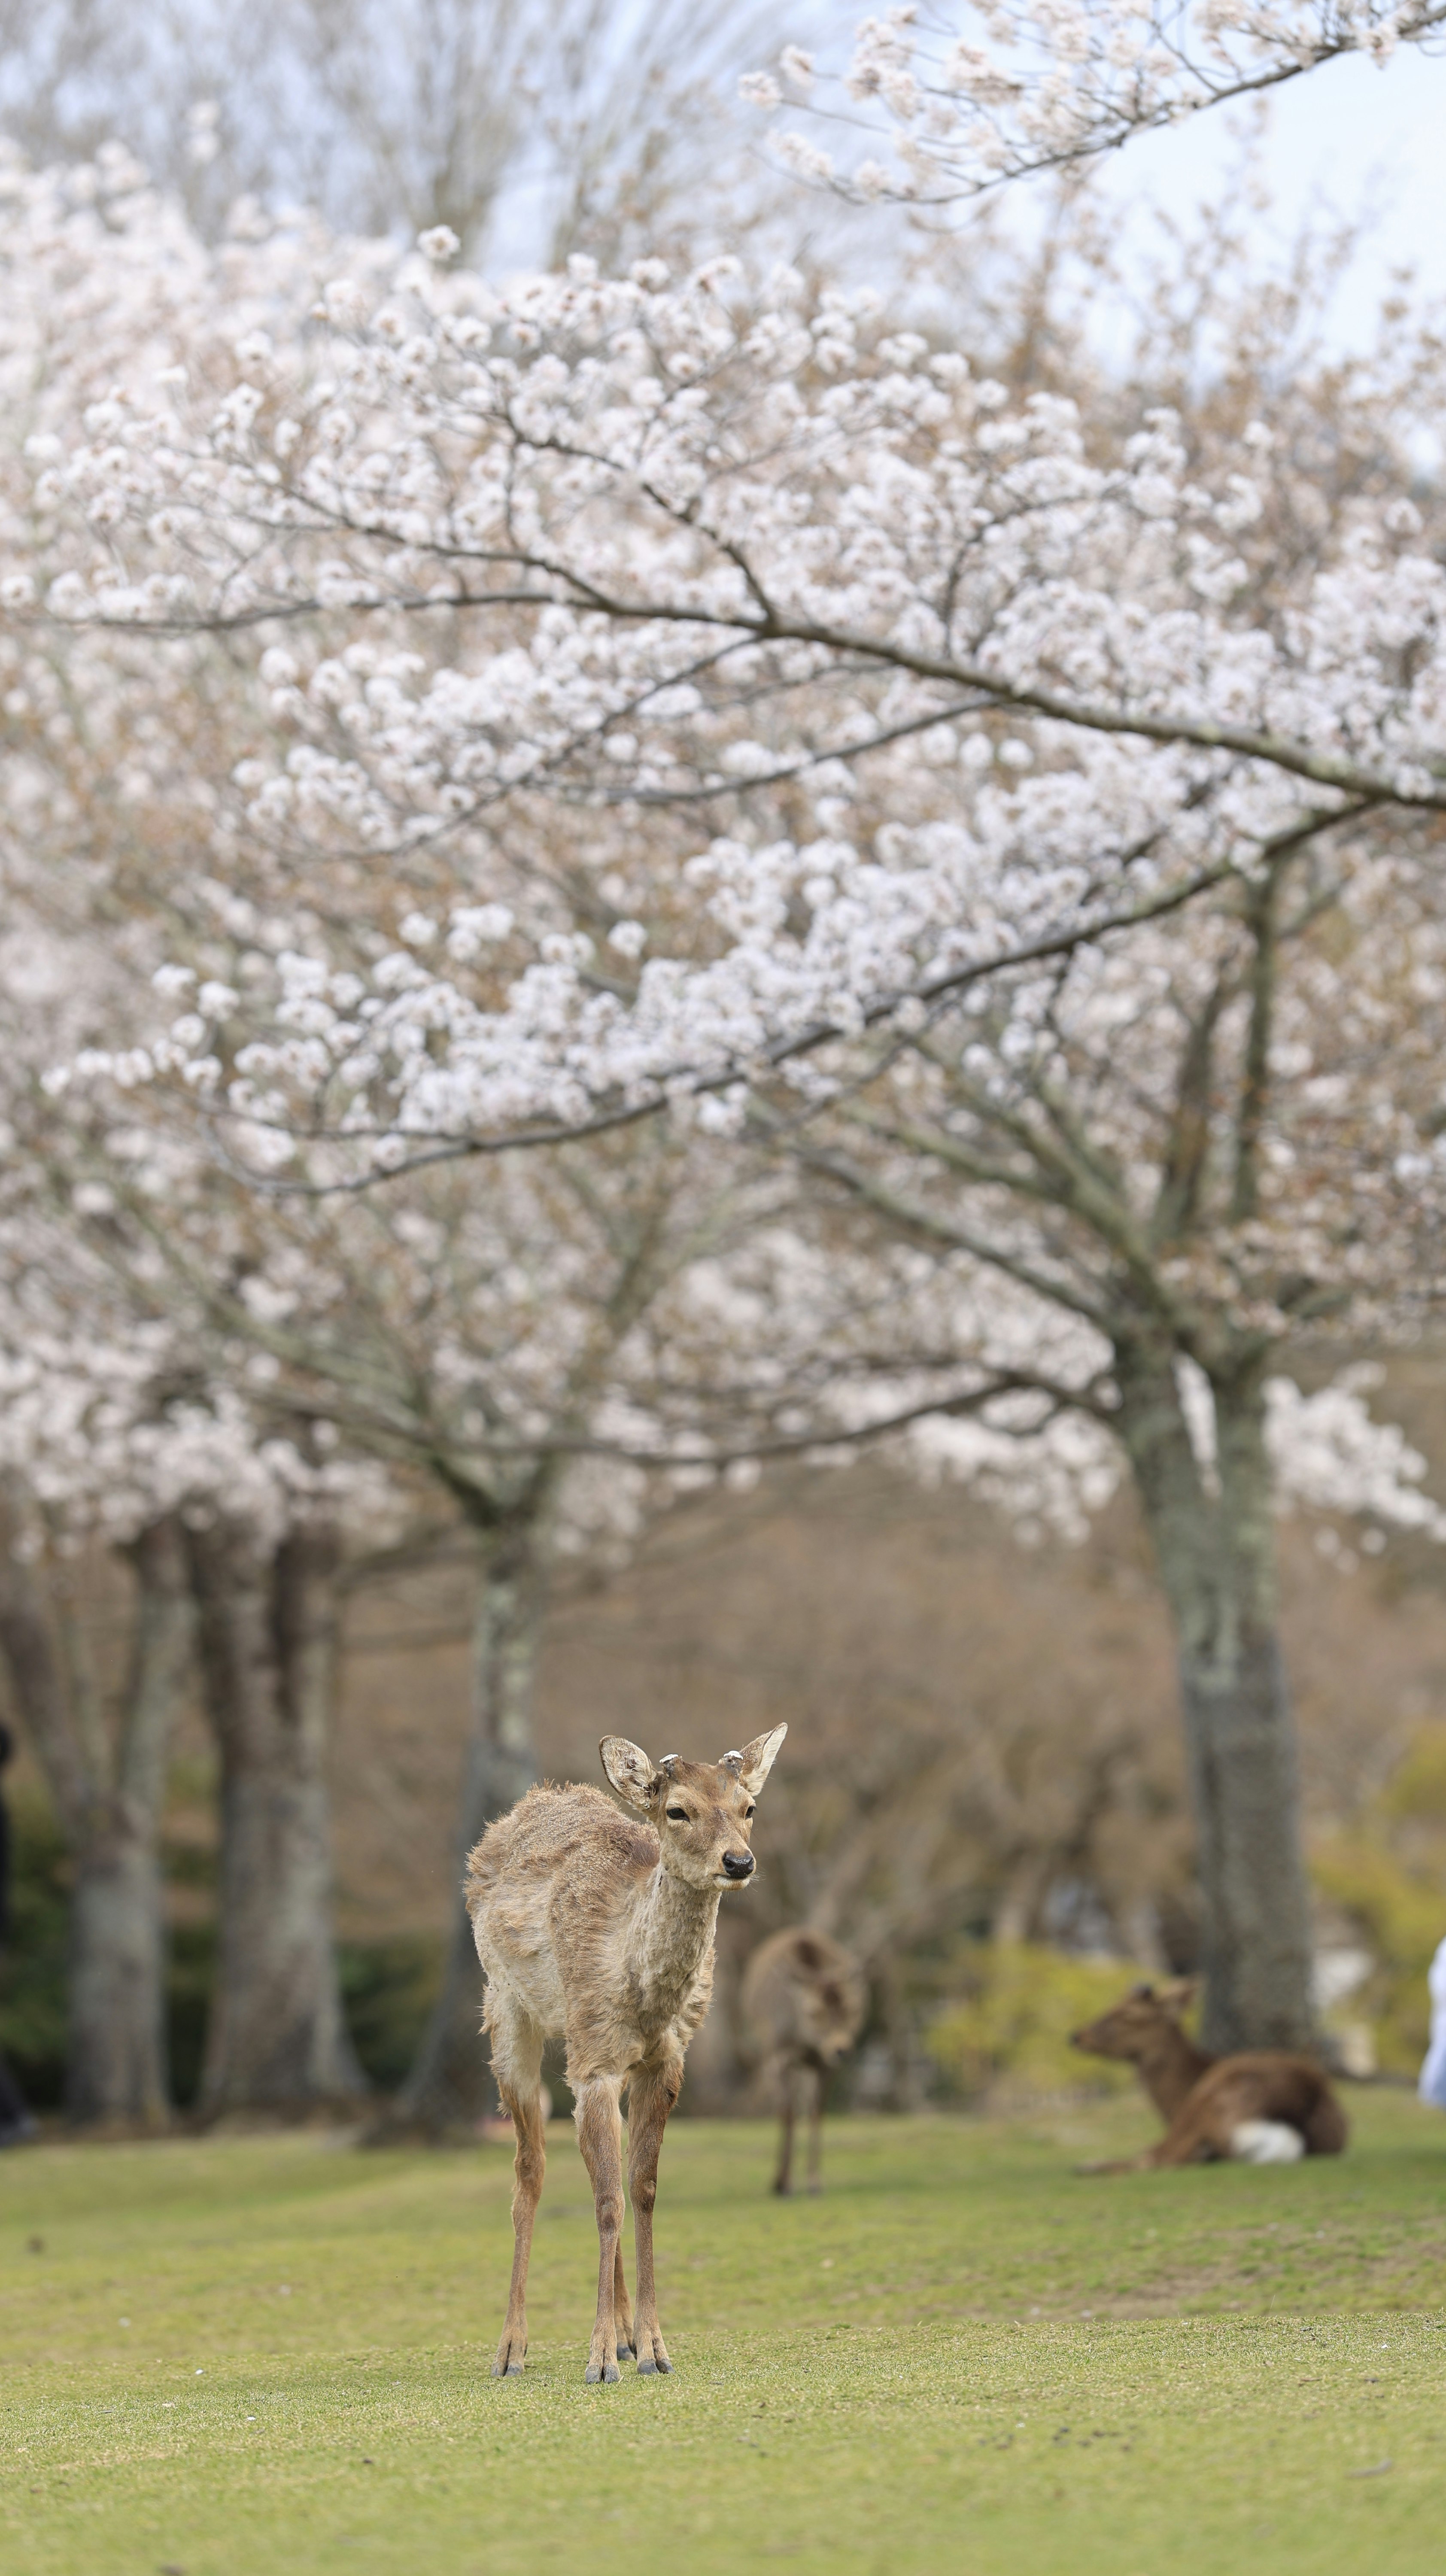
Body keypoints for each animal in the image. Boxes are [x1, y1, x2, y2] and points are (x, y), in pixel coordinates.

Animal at [465, 1724, 786, 2383]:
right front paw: (597, 2361)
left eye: (749, 1807)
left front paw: (652, 2347)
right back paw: (512, 2349)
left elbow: (639, 2190)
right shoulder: (594, 2061)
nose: (739, 1862)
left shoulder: (665, 2063)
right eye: (677, 1810)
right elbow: (608, 2200)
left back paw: (622, 2336)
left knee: (594, 2171)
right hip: (506, 2013)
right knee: (530, 2171)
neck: (640, 1995)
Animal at [742, 1926, 866, 2197]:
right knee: (787, 2106)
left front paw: (814, 2181)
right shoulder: (779, 2056)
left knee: (804, 2103)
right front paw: (784, 2183)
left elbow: (817, 2111)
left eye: (851, 2008)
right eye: (813, 2012)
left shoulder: (824, 2064)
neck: (805, 2040)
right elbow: (787, 2113)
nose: (841, 2049)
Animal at [1071, 1980, 1349, 2170]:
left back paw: (1087, 2166)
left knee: (1160, 2158)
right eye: (1111, 2006)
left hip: (1211, 2102)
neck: (1172, 2105)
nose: (1076, 2036)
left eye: (1129, 2015)